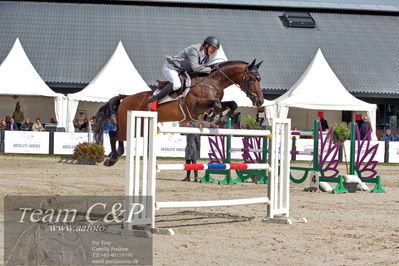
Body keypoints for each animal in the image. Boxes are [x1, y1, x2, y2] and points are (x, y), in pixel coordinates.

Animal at [94, 59, 266, 166]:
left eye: (260, 78)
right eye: (252, 79)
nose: (260, 101)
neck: (212, 82)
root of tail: (125, 98)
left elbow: (232, 104)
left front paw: (221, 119)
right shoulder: (195, 107)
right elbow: (216, 105)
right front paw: (211, 117)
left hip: (140, 126)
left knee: (119, 137)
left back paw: (115, 155)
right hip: (130, 122)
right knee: (113, 134)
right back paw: (112, 158)